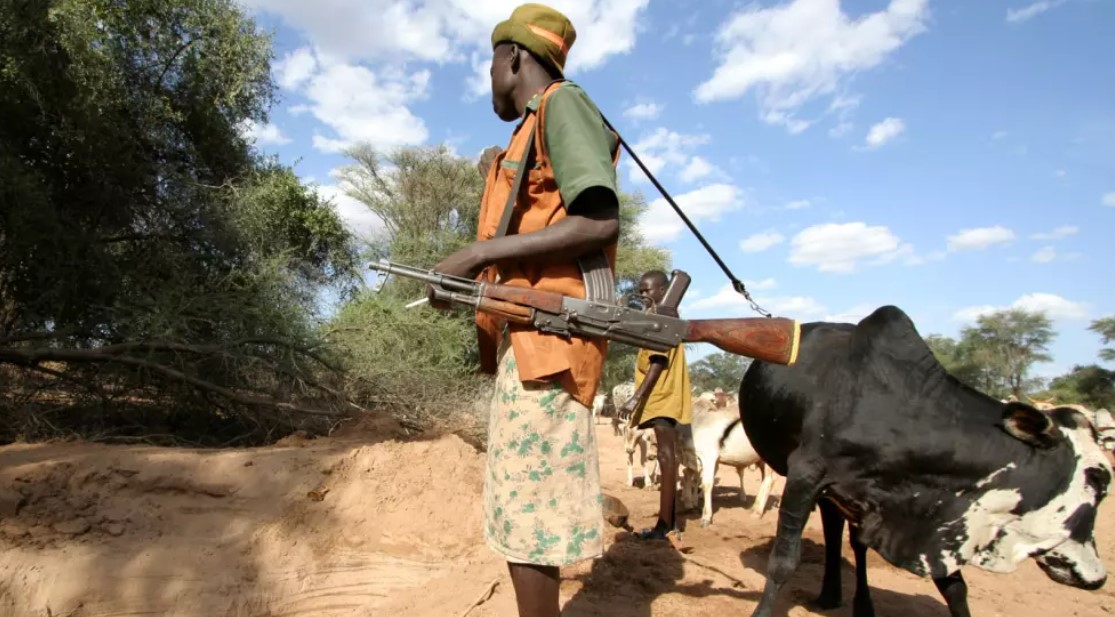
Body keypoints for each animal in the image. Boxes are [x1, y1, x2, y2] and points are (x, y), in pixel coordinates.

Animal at [735, 305, 1110, 615]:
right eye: (1099, 479)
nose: (1099, 577)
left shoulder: (935, 519)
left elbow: (954, 586)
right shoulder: (805, 476)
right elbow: (783, 562)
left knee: (849, 540)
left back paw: (852, 602)